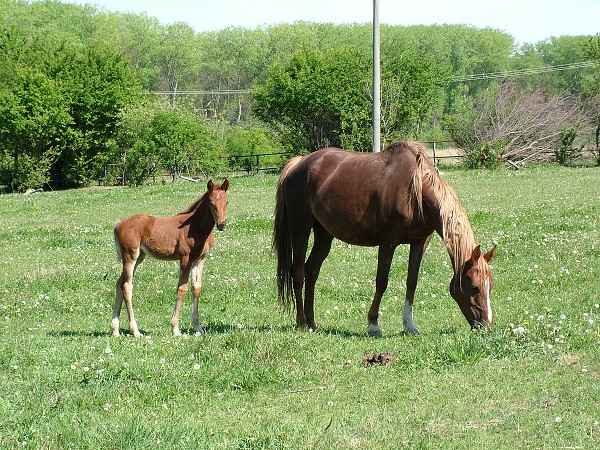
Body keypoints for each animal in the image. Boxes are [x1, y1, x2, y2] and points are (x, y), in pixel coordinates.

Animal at [111, 179, 229, 338]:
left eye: (227, 202)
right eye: (211, 203)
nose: (221, 224)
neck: (196, 227)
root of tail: (119, 223)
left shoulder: (200, 259)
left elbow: (196, 288)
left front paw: (198, 327)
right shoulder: (185, 258)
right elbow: (182, 289)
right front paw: (175, 328)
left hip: (139, 257)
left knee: (119, 283)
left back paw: (115, 330)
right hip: (130, 256)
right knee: (127, 286)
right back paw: (135, 331)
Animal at [274, 142, 494, 336]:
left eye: (490, 285)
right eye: (474, 287)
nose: (486, 325)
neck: (416, 192)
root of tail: (299, 163)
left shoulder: (419, 242)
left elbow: (412, 282)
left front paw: (409, 325)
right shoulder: (388, 242)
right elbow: (382, 281)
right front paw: (373, 325)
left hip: (324, 234)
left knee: (311, 271)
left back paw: (312, 322)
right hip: (300, 229)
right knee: (298, 272)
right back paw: (302, 321)